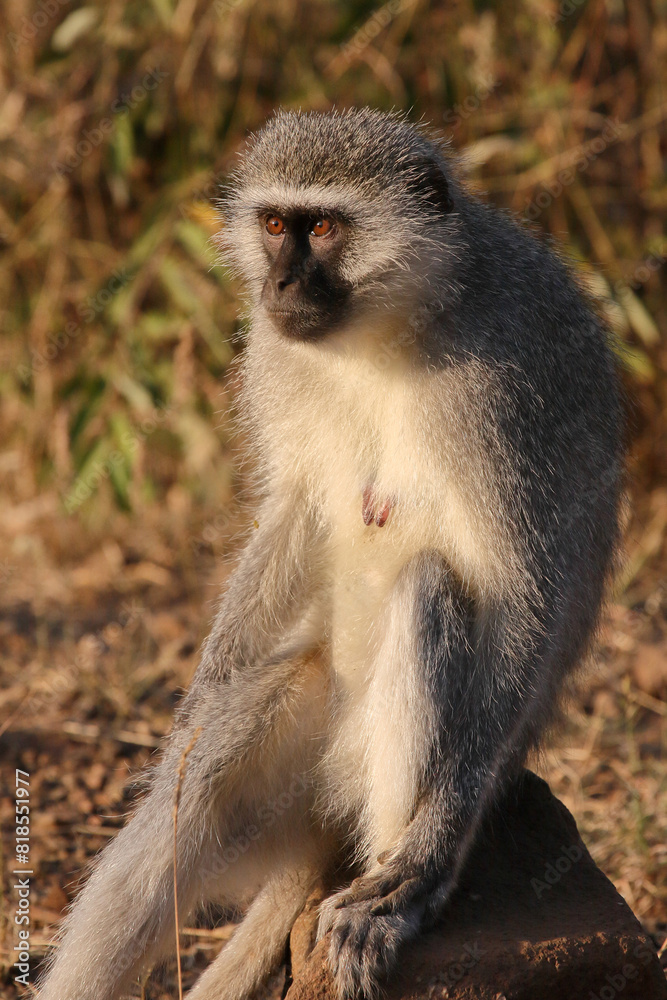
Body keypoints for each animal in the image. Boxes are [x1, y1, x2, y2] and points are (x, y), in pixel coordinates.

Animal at [39, 107, 624, 1000]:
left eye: (322, 229)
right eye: (275, 225)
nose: (279, 288)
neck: (393, 325)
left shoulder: (500, 393)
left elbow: (520, 590)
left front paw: (427, 857)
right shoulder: (275, 354)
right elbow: (298, 510)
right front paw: (195, 699)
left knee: (428, 588)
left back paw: (392, 898)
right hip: (303, 745)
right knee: (196, 795)